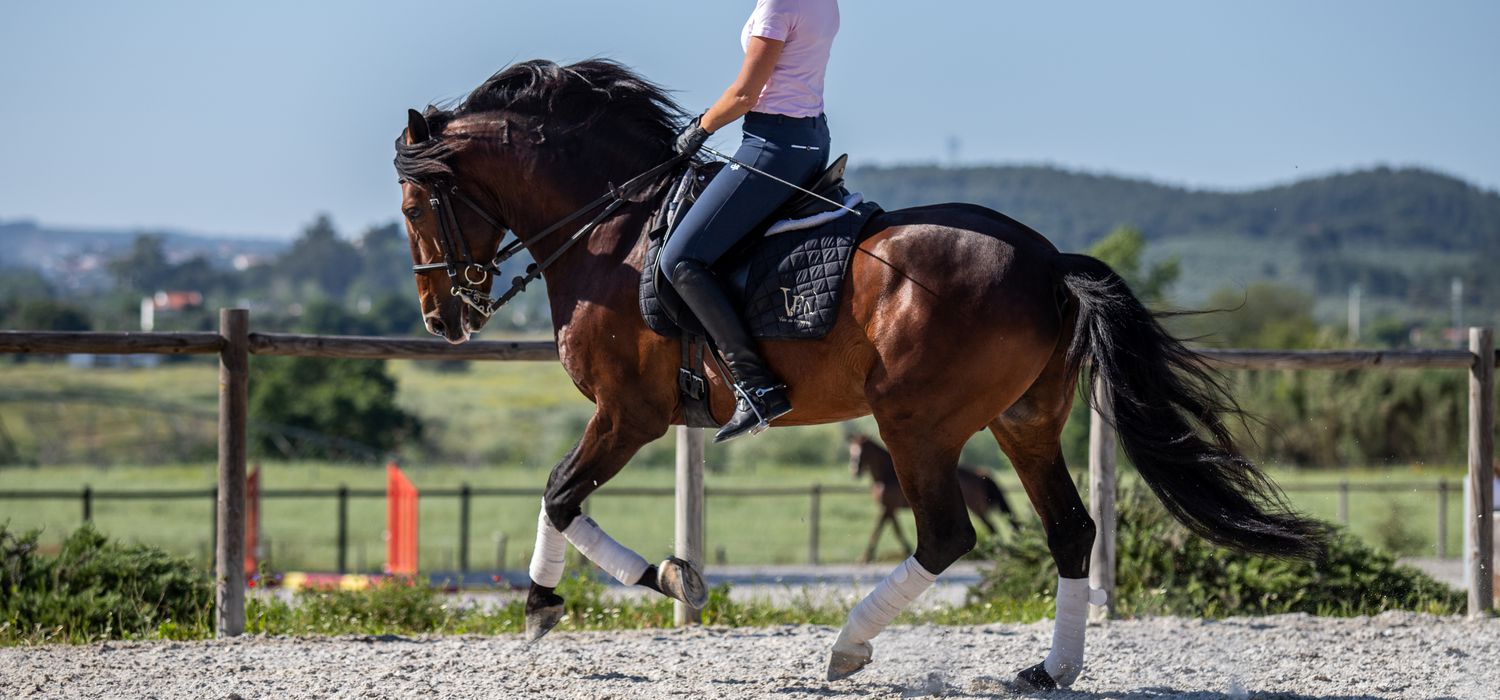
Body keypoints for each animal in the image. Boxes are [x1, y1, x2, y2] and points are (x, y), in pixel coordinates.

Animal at [852, 431, 1026, 563]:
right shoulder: (890, 508)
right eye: (852, 451)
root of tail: (980, 474)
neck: (887, 475)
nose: (855, 472)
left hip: (977, 508)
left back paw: (997, 552)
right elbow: (893, 530)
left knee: (991, 527)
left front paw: (866, 557)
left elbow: (878, 530)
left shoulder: (888, 507)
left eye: (862, 452)